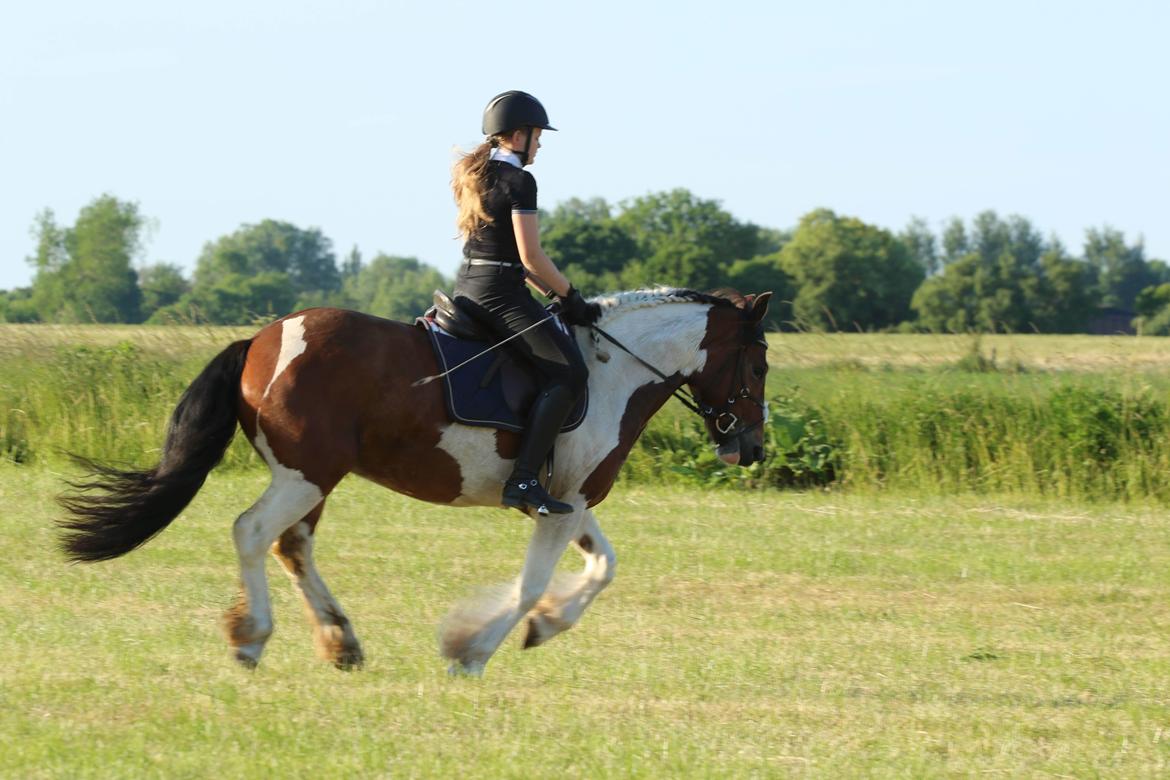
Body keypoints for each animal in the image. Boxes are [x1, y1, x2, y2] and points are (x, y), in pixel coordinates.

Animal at [61, 288, 776, 678]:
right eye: (760, 363)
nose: (750, 445)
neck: (612, 371)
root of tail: (260, 341)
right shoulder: (561, 504)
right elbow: (532, 584)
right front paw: (471, 649)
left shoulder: (568, 500)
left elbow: (603, 567)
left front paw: (546, 626)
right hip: (305, 473)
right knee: (253, 532)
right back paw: (252, 639)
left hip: (313, 477)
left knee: (291, 546)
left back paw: (340, 641)